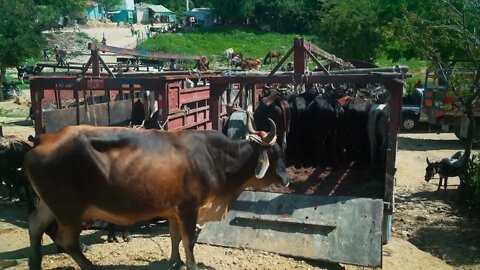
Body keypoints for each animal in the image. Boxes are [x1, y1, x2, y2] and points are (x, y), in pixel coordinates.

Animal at [25, 119, 288, 268]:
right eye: (275, 153)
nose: (287, 179)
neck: (215, 158)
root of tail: (43, 140)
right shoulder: (189, 208)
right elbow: (189, 240)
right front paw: (191, 265)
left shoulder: (173, 211)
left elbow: (175, 237)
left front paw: (175, 261)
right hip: (69, 210)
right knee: (67, 242)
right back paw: (90, 267)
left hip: (49, 205)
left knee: (35, 225)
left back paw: (35, 264)